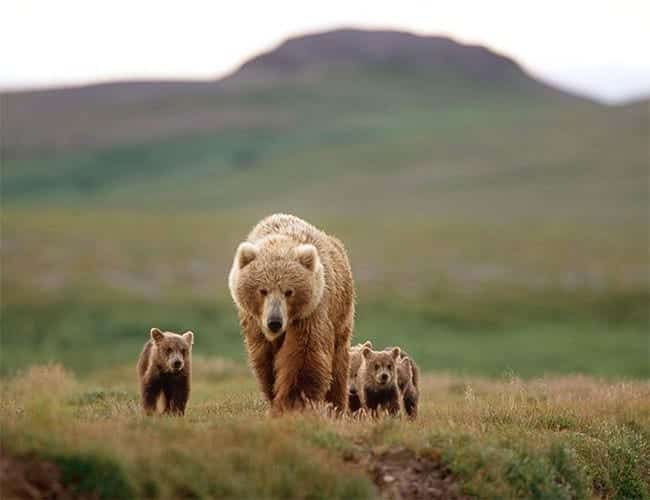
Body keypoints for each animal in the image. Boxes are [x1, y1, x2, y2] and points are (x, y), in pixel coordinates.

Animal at [228, 215, 354, 414]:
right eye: (262, 290)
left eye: (289, 291)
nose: (274, 322)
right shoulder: (255, 324)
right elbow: (265, 361)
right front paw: (274, 397)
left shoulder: (310, 313)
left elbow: (304, 355)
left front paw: (292, 404)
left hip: (341, 311)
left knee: (339, 359)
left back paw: (337, 405)